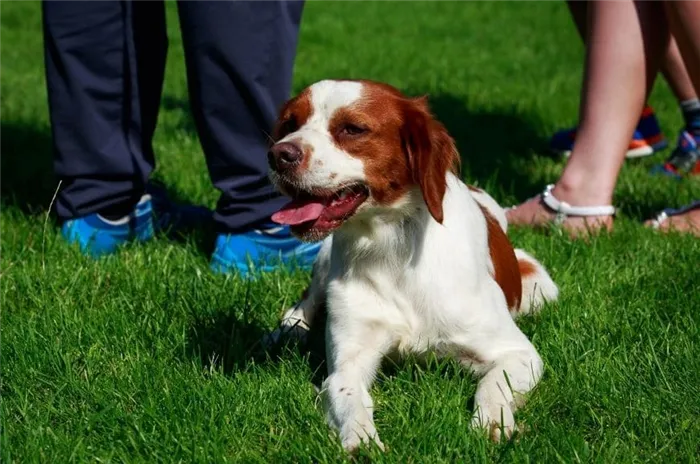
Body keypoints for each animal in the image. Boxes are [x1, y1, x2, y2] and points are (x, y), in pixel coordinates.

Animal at [266, 79, 560, 450]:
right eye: (290, 124)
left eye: (352, 129)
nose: (278, 155)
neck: (390, 248)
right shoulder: (347, 363)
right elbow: (347, 394)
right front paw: (361, 441)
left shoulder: (519, 353)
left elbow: (492, 386)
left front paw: (491, 424)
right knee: (310, 297)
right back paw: (291, 327)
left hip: (539, 285)